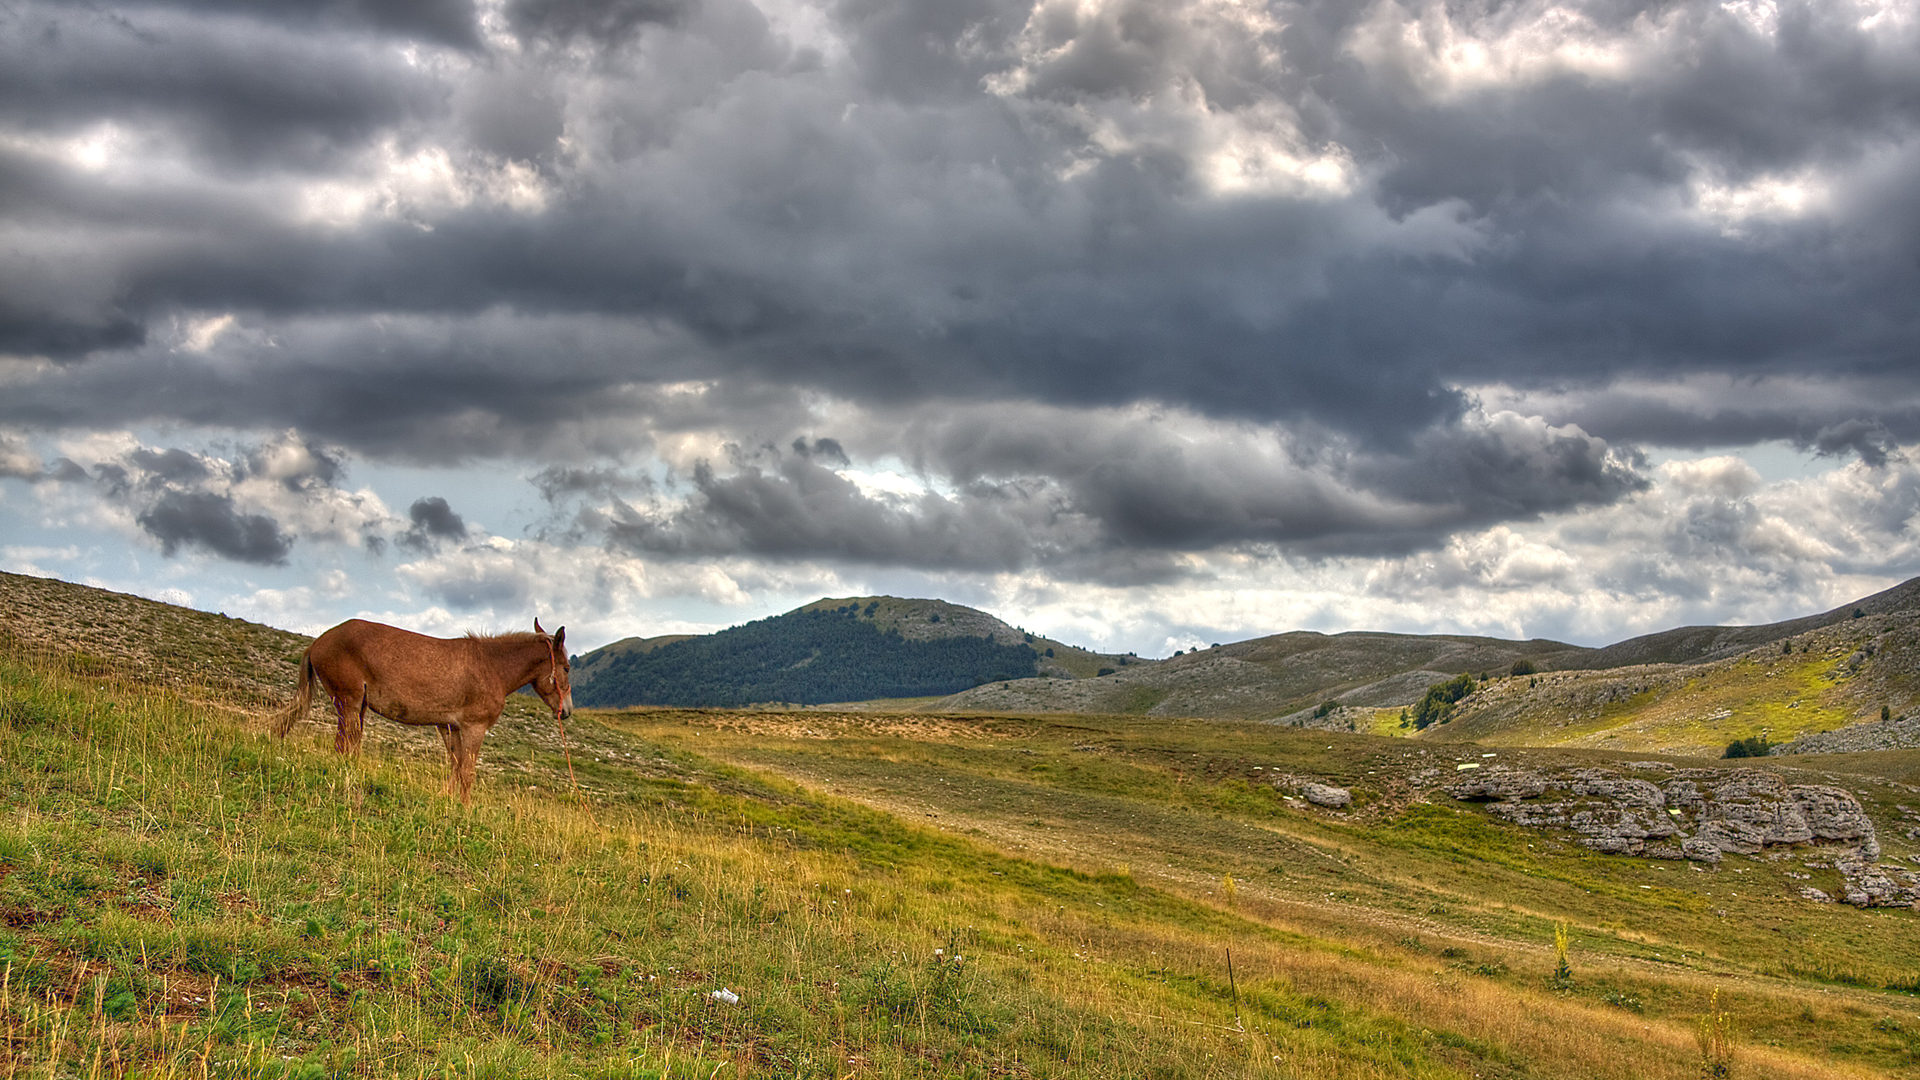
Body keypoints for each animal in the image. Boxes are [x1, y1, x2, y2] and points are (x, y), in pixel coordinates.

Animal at [272, 614, 568, 799]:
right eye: (566, 667)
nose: (565, 712)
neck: (491, 666)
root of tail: (317, 643)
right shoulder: (474, 727)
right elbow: (467, 772)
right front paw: (465, 809)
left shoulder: (450, 727)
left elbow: (456, 767)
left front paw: (448, 800)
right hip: (350, 703)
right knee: (346, 745)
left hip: (356, 707)